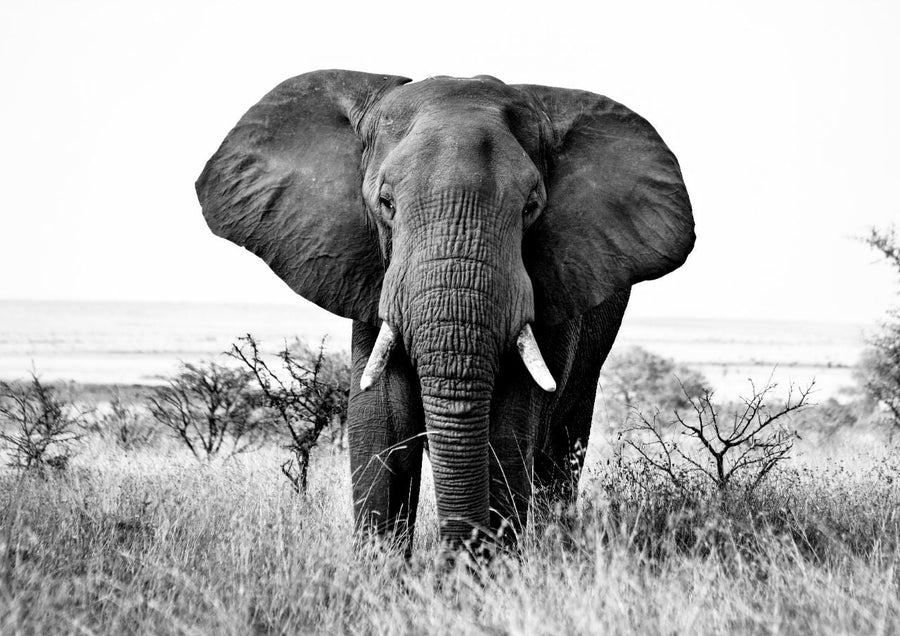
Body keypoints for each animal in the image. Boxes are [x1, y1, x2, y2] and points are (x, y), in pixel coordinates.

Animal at [195, 69, 694, 553]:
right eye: (386, 204)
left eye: (531, 208)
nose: (457, 558)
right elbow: (381, 421)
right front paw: (382, 573)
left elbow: (508, 429)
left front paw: (490, 573)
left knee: (561, 447)